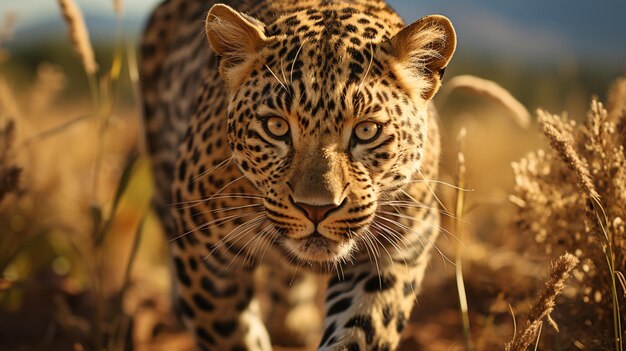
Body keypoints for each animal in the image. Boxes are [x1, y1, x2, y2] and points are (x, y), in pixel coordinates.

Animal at [140, 1, 454, 350]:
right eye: (276, 126)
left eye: (366, 130)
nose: (316, 209)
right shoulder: (205, 256)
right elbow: (234, 335)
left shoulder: (402, 246)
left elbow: (363, 328)